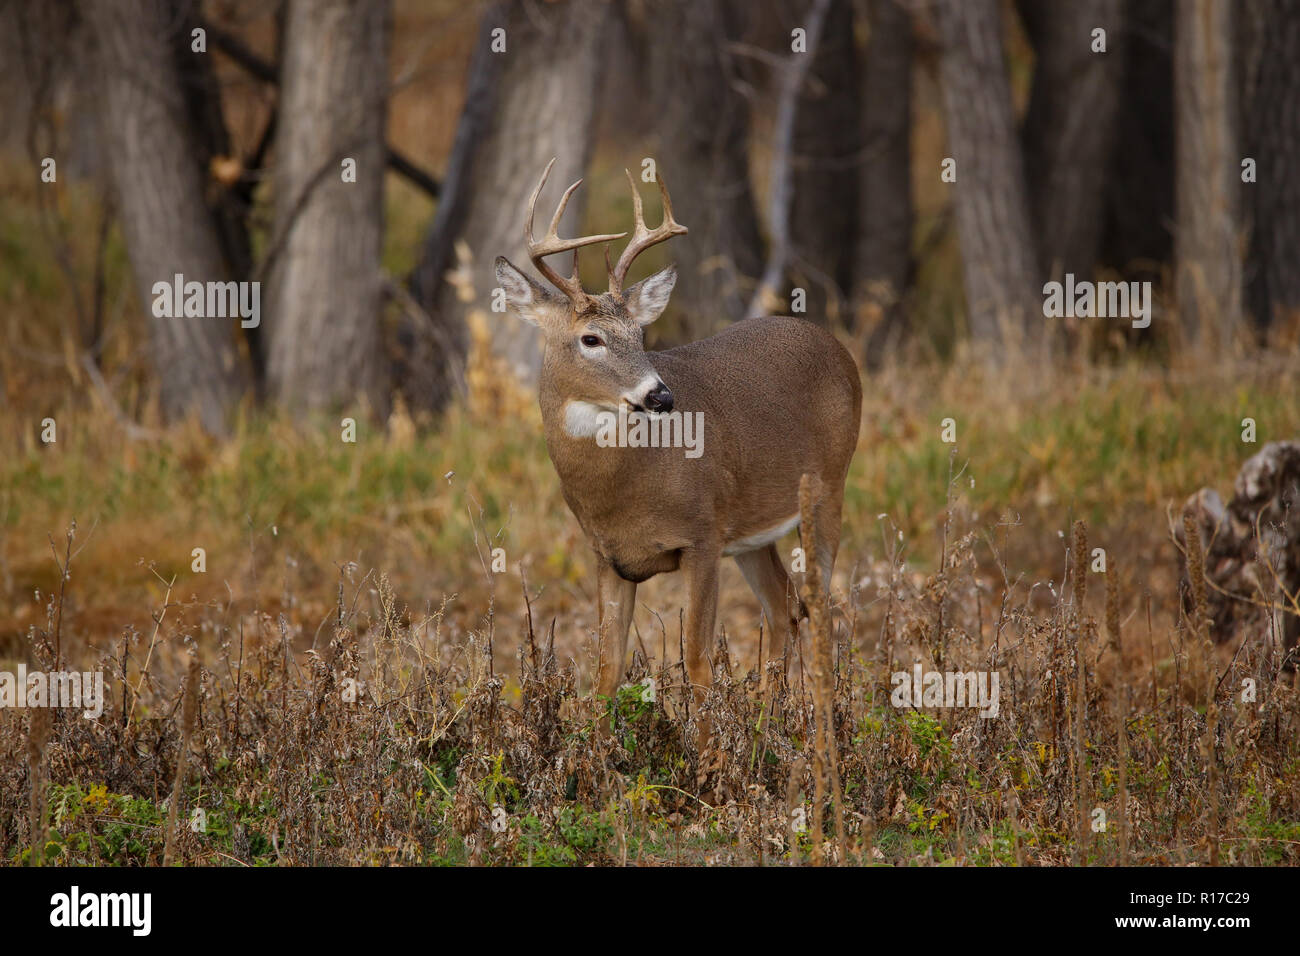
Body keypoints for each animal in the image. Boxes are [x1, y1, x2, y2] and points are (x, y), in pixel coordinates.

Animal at [495, 159, 862, 731]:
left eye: (641, 336)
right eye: (590, 339)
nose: (660, 395)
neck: (626, 487)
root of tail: (837, 347)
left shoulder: (702, 536)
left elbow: (697, 663)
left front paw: (713, 751)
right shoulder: (608, 556)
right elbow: (607, 670)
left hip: (829, 488)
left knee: (819, 607)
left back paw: (817, 730)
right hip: (752, 530)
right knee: (784, 605)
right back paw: (767, 722)